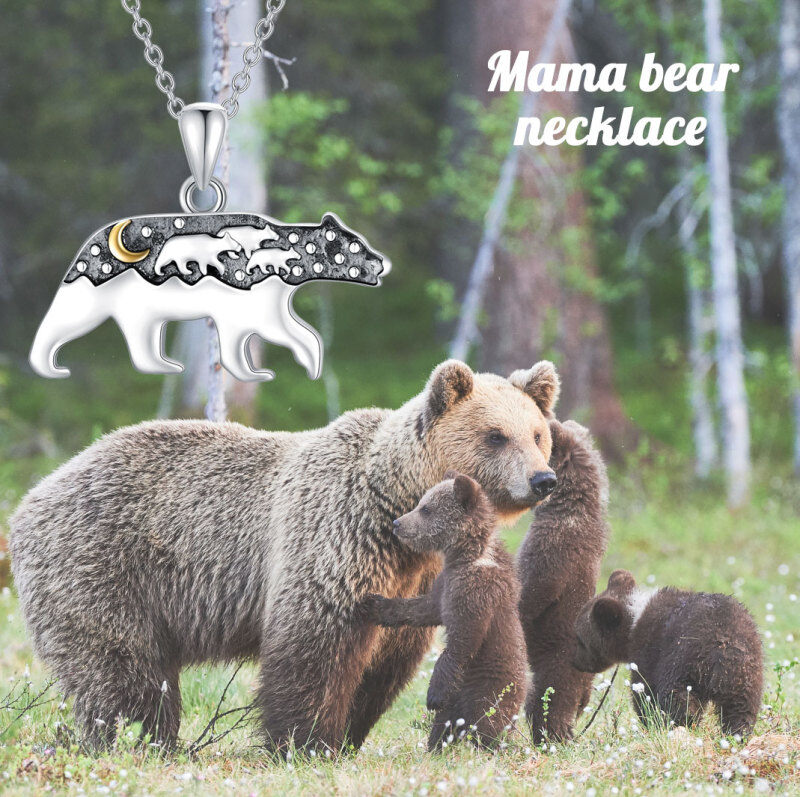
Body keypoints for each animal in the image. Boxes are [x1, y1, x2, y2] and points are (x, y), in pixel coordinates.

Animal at [362, 471, 527, 751]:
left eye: (426, 508)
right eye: (420, 502)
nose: (397, 523)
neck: (465, 554)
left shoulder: (476, 591)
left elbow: (462, 639)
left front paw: (433, 694)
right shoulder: (445, 584)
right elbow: (424, 609)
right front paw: (374, 603)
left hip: (489, 688)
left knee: (487, 722)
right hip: (460, 701)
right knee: (446, 724)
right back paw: (438, 746)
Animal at [573, 570, 764, 738]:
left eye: (580, 638)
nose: (574, 662)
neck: (633, 624)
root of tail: (722, 647)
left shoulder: (648, 654)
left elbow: (644, 692)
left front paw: (649, 721)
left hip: (683, 662)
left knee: (678, 700)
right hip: (747, 673)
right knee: (741, 709)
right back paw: (736, 734)